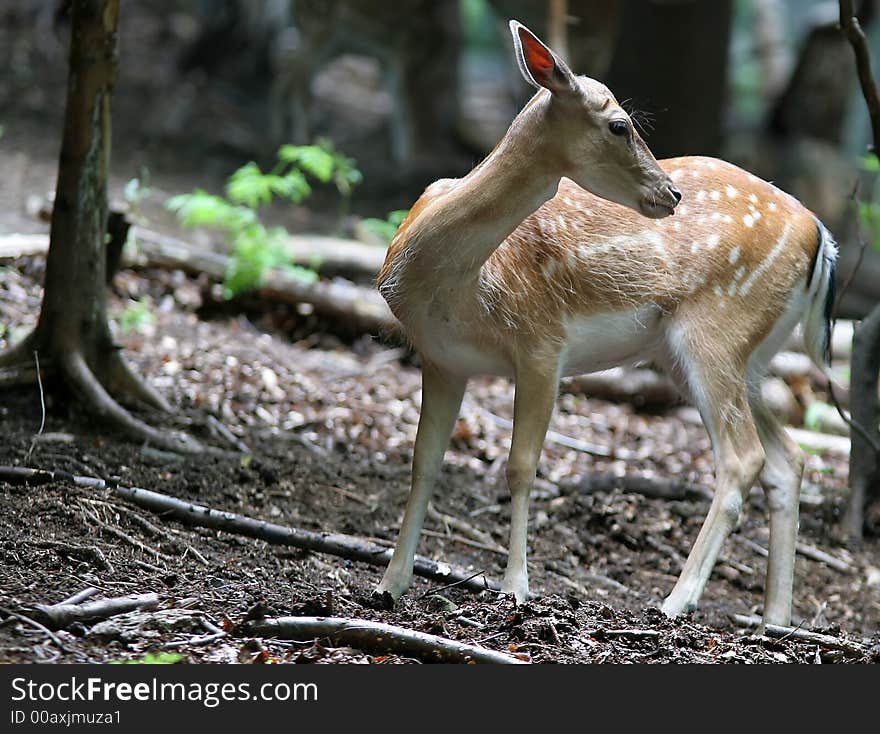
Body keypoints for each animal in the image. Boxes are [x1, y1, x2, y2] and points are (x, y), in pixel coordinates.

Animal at [374, 18, 836, 628]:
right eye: (620, 125)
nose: (670, 192)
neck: (448, 286)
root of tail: (820, 233)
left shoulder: (542, 341)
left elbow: (522, 466)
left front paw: (515, 589)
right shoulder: (442, 358)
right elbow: (423, 462)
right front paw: (389, 585)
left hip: (715, 330)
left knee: (744, 458)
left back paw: (676, 601)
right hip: (731, 355)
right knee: (789, 459)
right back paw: (774, 621)